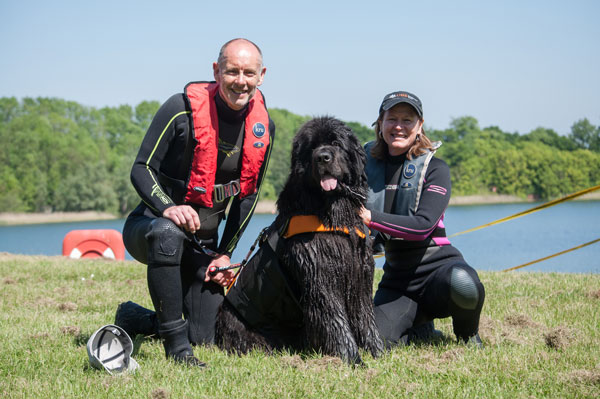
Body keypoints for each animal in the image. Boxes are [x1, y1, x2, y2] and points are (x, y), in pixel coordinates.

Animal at [216, 116, 384, 366]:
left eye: (336, 143)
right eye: (311, 148)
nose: (323, 157)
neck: (332, 211)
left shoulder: (359, 271)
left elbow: (365, 317)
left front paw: (379, 354)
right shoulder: (320, 273)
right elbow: (337, 321)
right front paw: (353, 360)